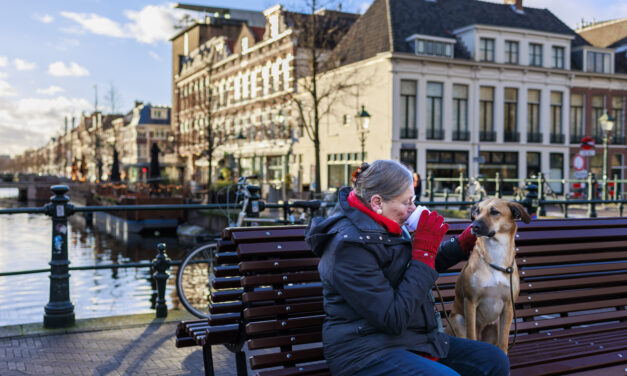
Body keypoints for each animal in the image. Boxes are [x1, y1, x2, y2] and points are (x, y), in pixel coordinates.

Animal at [446, 198, 528, 354]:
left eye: (494, 212)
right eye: (477, 211)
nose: (474, 226)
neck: (496, 252)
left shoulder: (508, 307)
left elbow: (503, 343)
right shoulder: (470, 301)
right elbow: (471, 336)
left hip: (494, 327)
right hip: (458, 320)